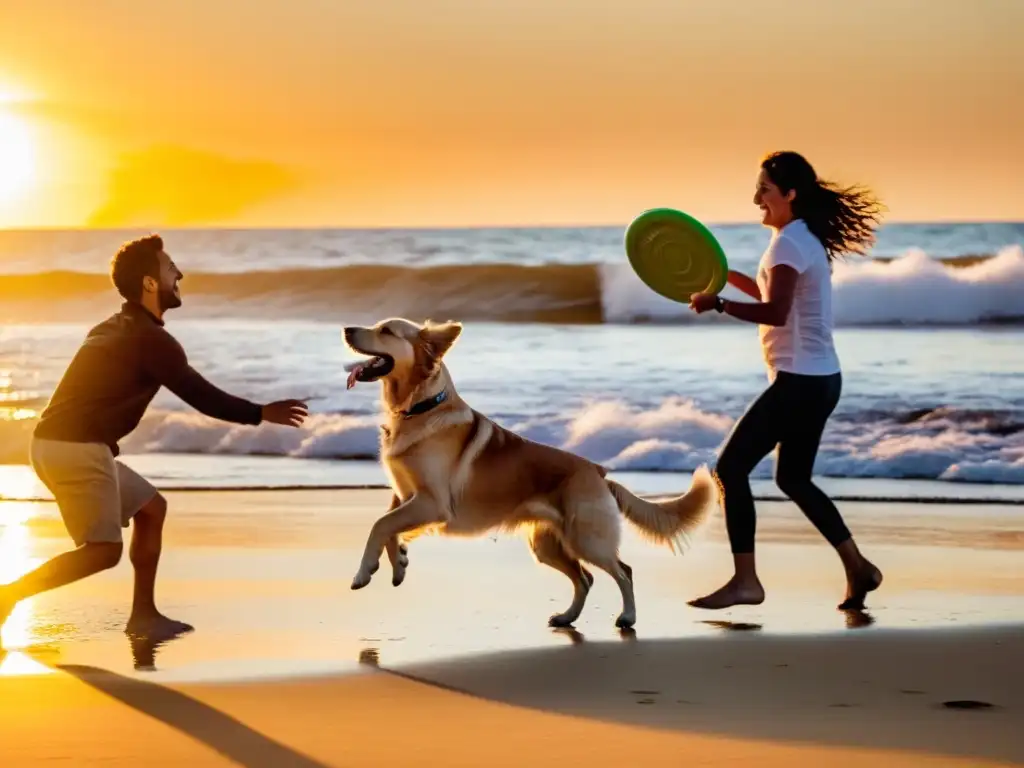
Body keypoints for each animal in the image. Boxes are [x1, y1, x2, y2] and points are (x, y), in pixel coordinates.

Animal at [339, 319, 716, 630]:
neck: (420, 407)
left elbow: (381, 525)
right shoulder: (405, 497)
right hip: (547, 545)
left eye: (386, 330)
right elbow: (388, 526)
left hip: (587, 539)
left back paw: (628, 617)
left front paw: (363, 572)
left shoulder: (433, 502)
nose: (346, 329)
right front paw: (398, 562)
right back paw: (567, 617)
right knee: (585, 578)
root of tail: (598, 472)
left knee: (623, 571)